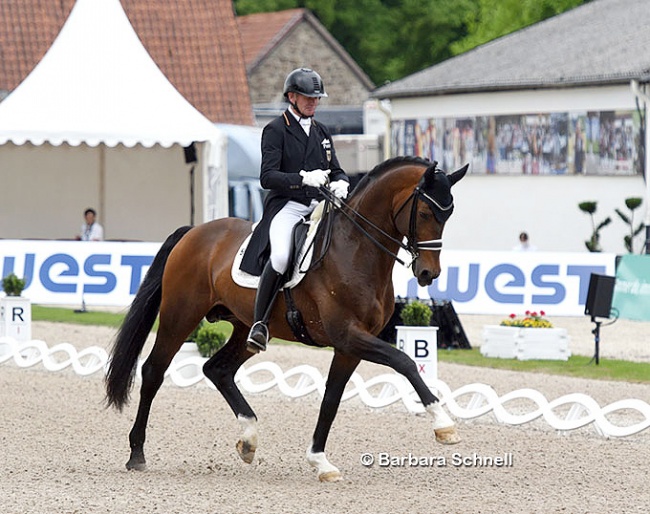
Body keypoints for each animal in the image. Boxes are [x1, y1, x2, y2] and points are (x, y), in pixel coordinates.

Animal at [105, 156, 466, 480]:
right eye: (424, 212)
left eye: (448, 215)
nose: (428, 274)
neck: (355, 249)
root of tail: (194, 231)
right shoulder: (349, 335)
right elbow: (405, 361)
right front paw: (443, 425)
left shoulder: (349, 346)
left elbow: (331, 399)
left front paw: (320, 462)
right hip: (180, 316)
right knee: (153, 371)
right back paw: (137, 453)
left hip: (243, 327)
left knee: (217, 369)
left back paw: (248, 440)